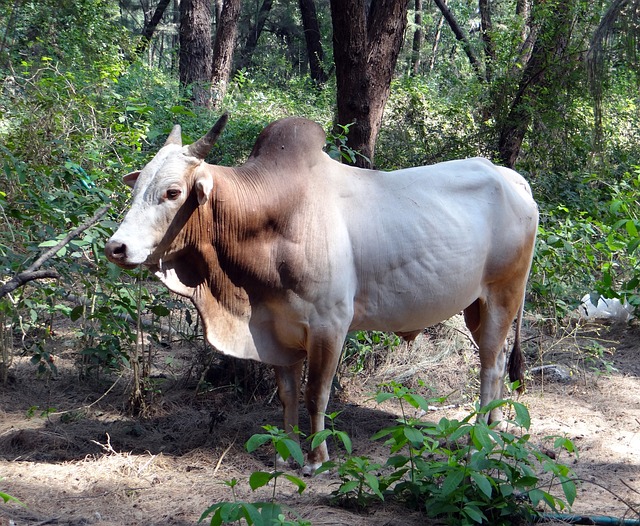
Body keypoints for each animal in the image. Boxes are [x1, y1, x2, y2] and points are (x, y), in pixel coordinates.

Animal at [106, 115, 540, 474]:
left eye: (173, 193)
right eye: (138, 186)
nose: (116, 247)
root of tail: (512, 178)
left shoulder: (329, 324)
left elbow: (316, 393)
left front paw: (317, 459)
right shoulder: (274, 328)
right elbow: (287, 395)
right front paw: (285, 454)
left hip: (504, 295)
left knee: (490, 367)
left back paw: (479, 442)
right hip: (477, 307)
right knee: (501, 359)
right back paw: (496, 427)